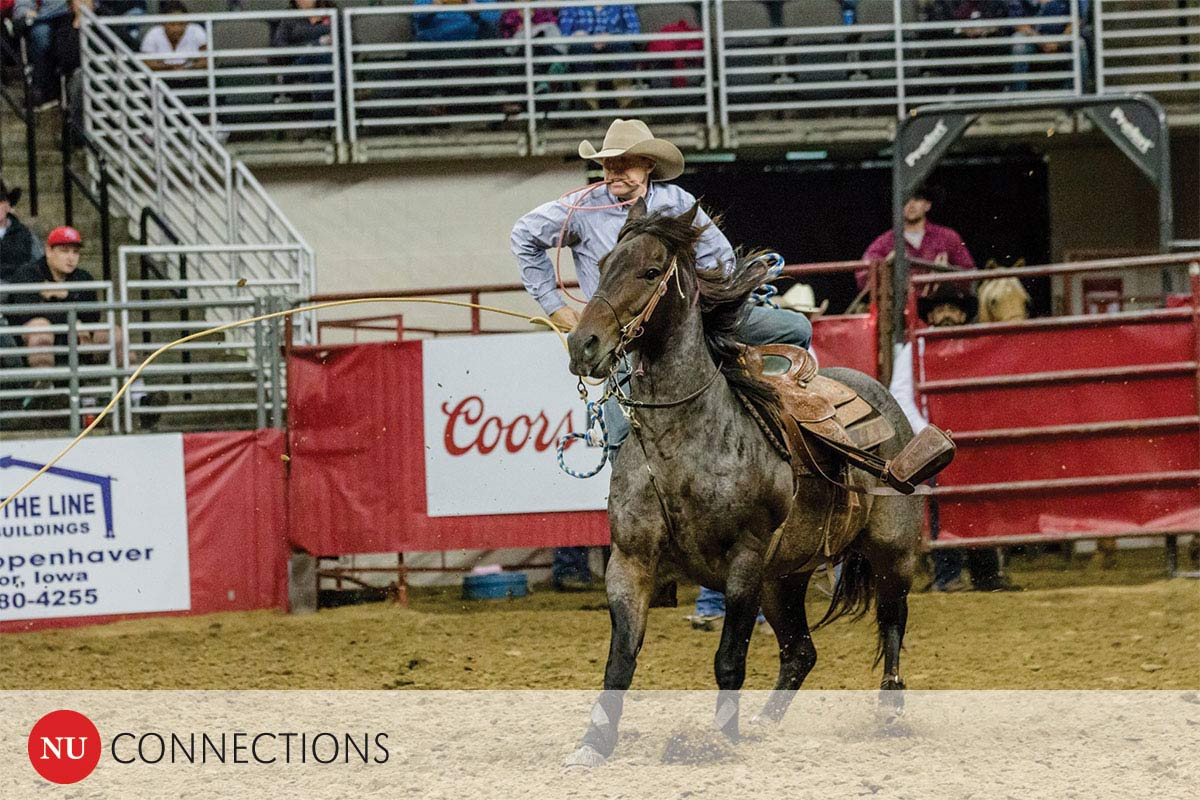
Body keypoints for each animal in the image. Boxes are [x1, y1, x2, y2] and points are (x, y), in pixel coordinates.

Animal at [566, 199, 921, 762]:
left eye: (650, 271)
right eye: (601, 266)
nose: (584, 344)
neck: (682, 448)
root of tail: (877, 390)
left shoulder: (745, 561)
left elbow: (729, 659)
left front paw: (720, 740)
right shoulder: (630, 561)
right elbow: (620, 660)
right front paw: (594, 744)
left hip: (891, 553)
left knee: (892, 622)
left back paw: (888, 710)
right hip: (783, 579)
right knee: (801, 652)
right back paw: (763, 722)